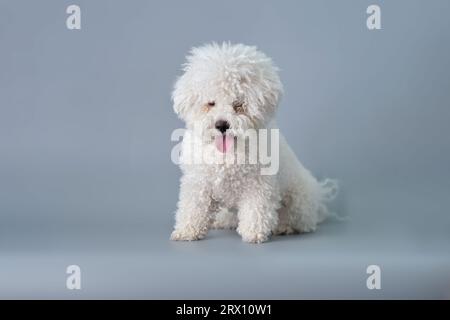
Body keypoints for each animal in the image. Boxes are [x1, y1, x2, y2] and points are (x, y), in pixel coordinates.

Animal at [171, 42, 336, 242]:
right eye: (211, 103)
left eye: (238, 105)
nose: (221, 125)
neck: (227, 153)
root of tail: (319, 197)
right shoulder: (198, 182)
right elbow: (193, 207)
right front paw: (187, 230)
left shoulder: (258, 184)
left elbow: (256, 210)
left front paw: (254, 233)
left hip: (297, 200)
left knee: (297, 220)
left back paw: (285, 227)